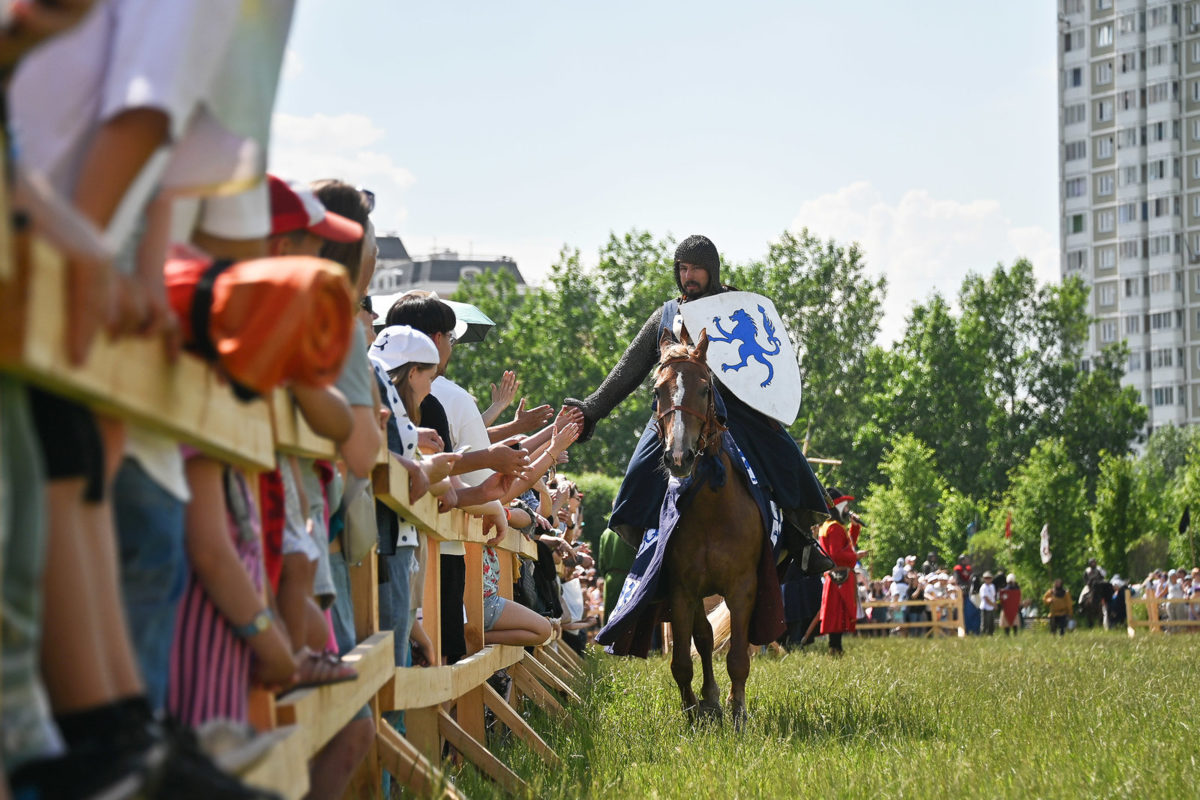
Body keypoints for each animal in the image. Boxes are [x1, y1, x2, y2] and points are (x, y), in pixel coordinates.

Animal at [652, 326, 763, 724]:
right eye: (658, 391)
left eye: (704, 389)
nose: (679, 457)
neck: (714, 510)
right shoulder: (681, 590)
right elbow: (683, 660)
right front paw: (692, 712)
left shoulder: (743, 587)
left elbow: (738, 657)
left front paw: (739, 712)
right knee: (702, 638)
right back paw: (710, 699)